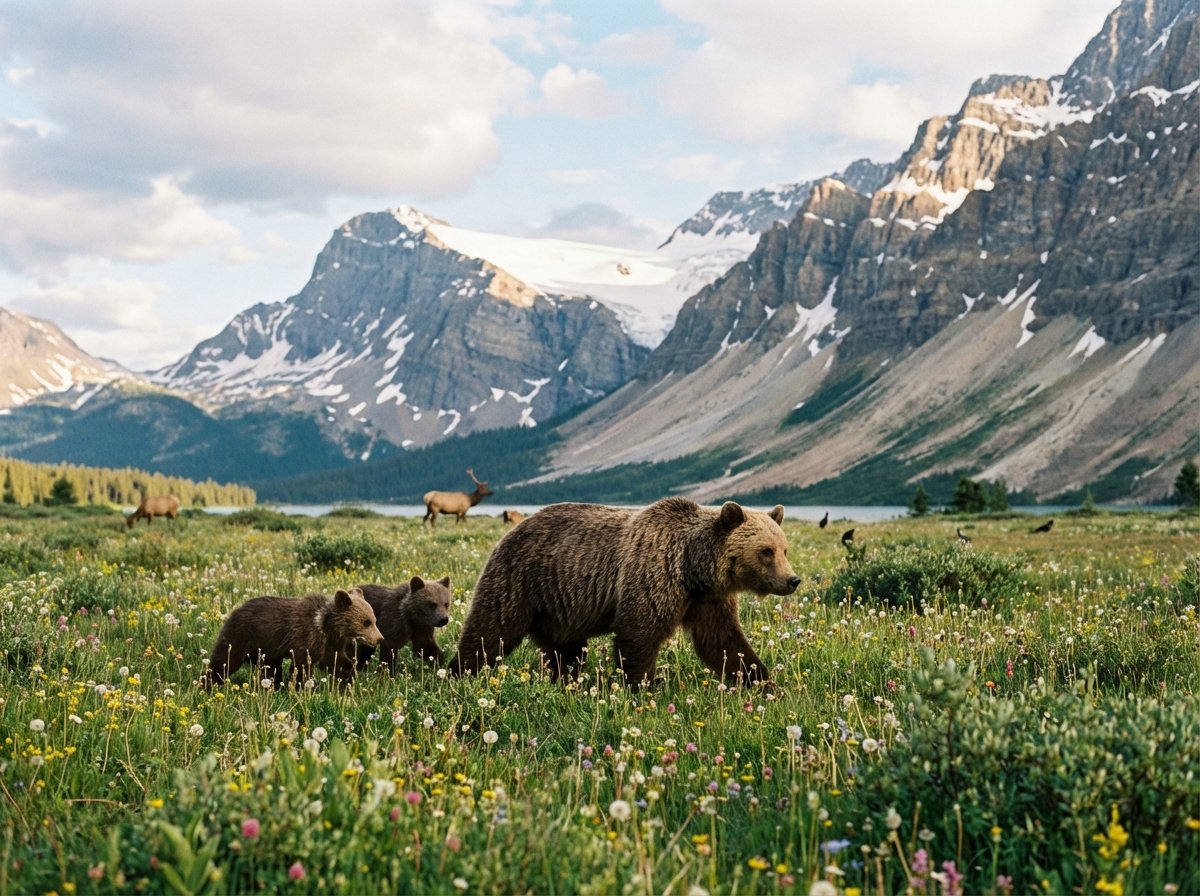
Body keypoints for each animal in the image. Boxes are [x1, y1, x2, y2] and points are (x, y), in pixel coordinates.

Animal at [202, 587, 383, 687]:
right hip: (241, 636)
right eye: (366, 622)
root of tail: (234, 610)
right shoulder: (306, 637)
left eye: (374, 619)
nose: (379, 638)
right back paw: (207, 684)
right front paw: (302, 686)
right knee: (225, 660)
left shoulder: (329, 644)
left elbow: (334, 660)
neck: (326, 626)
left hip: (266, 650)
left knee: (269, 669)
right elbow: (302, 664)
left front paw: (349, 671)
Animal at [448, 497, 801, 688]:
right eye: (766, 551)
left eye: (784, 548)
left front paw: (762, 680)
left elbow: (723, 641)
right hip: (519, 580)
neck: (691, 568)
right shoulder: (652, 574)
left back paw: (566, 681)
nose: (792, 579)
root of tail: (515, 527)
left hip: (560, 605)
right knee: (491, 631)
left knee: (566, 650)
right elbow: (639, 633)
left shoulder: (708, 599)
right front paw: (643, 685)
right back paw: (457, 672)